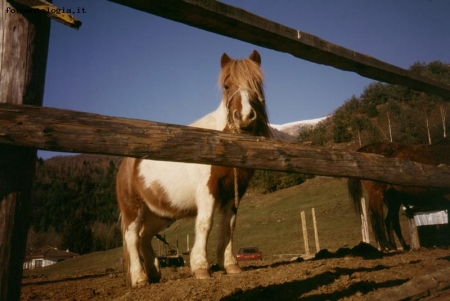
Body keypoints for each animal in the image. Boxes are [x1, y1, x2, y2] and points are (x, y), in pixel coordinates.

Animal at [116, 50, 270, 288]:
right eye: (227, 86)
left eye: (257, 83)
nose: (245, 118)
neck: (221, 142)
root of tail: (125, 165)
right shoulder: (207, 191)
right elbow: (205, 224)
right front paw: (200, 267)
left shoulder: (232, 195)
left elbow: (229, 225)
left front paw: (230, 265)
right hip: (133, 209)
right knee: (132, 237)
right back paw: (140, 278)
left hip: (159, 215)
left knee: (145, 237)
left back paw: (154, 273)